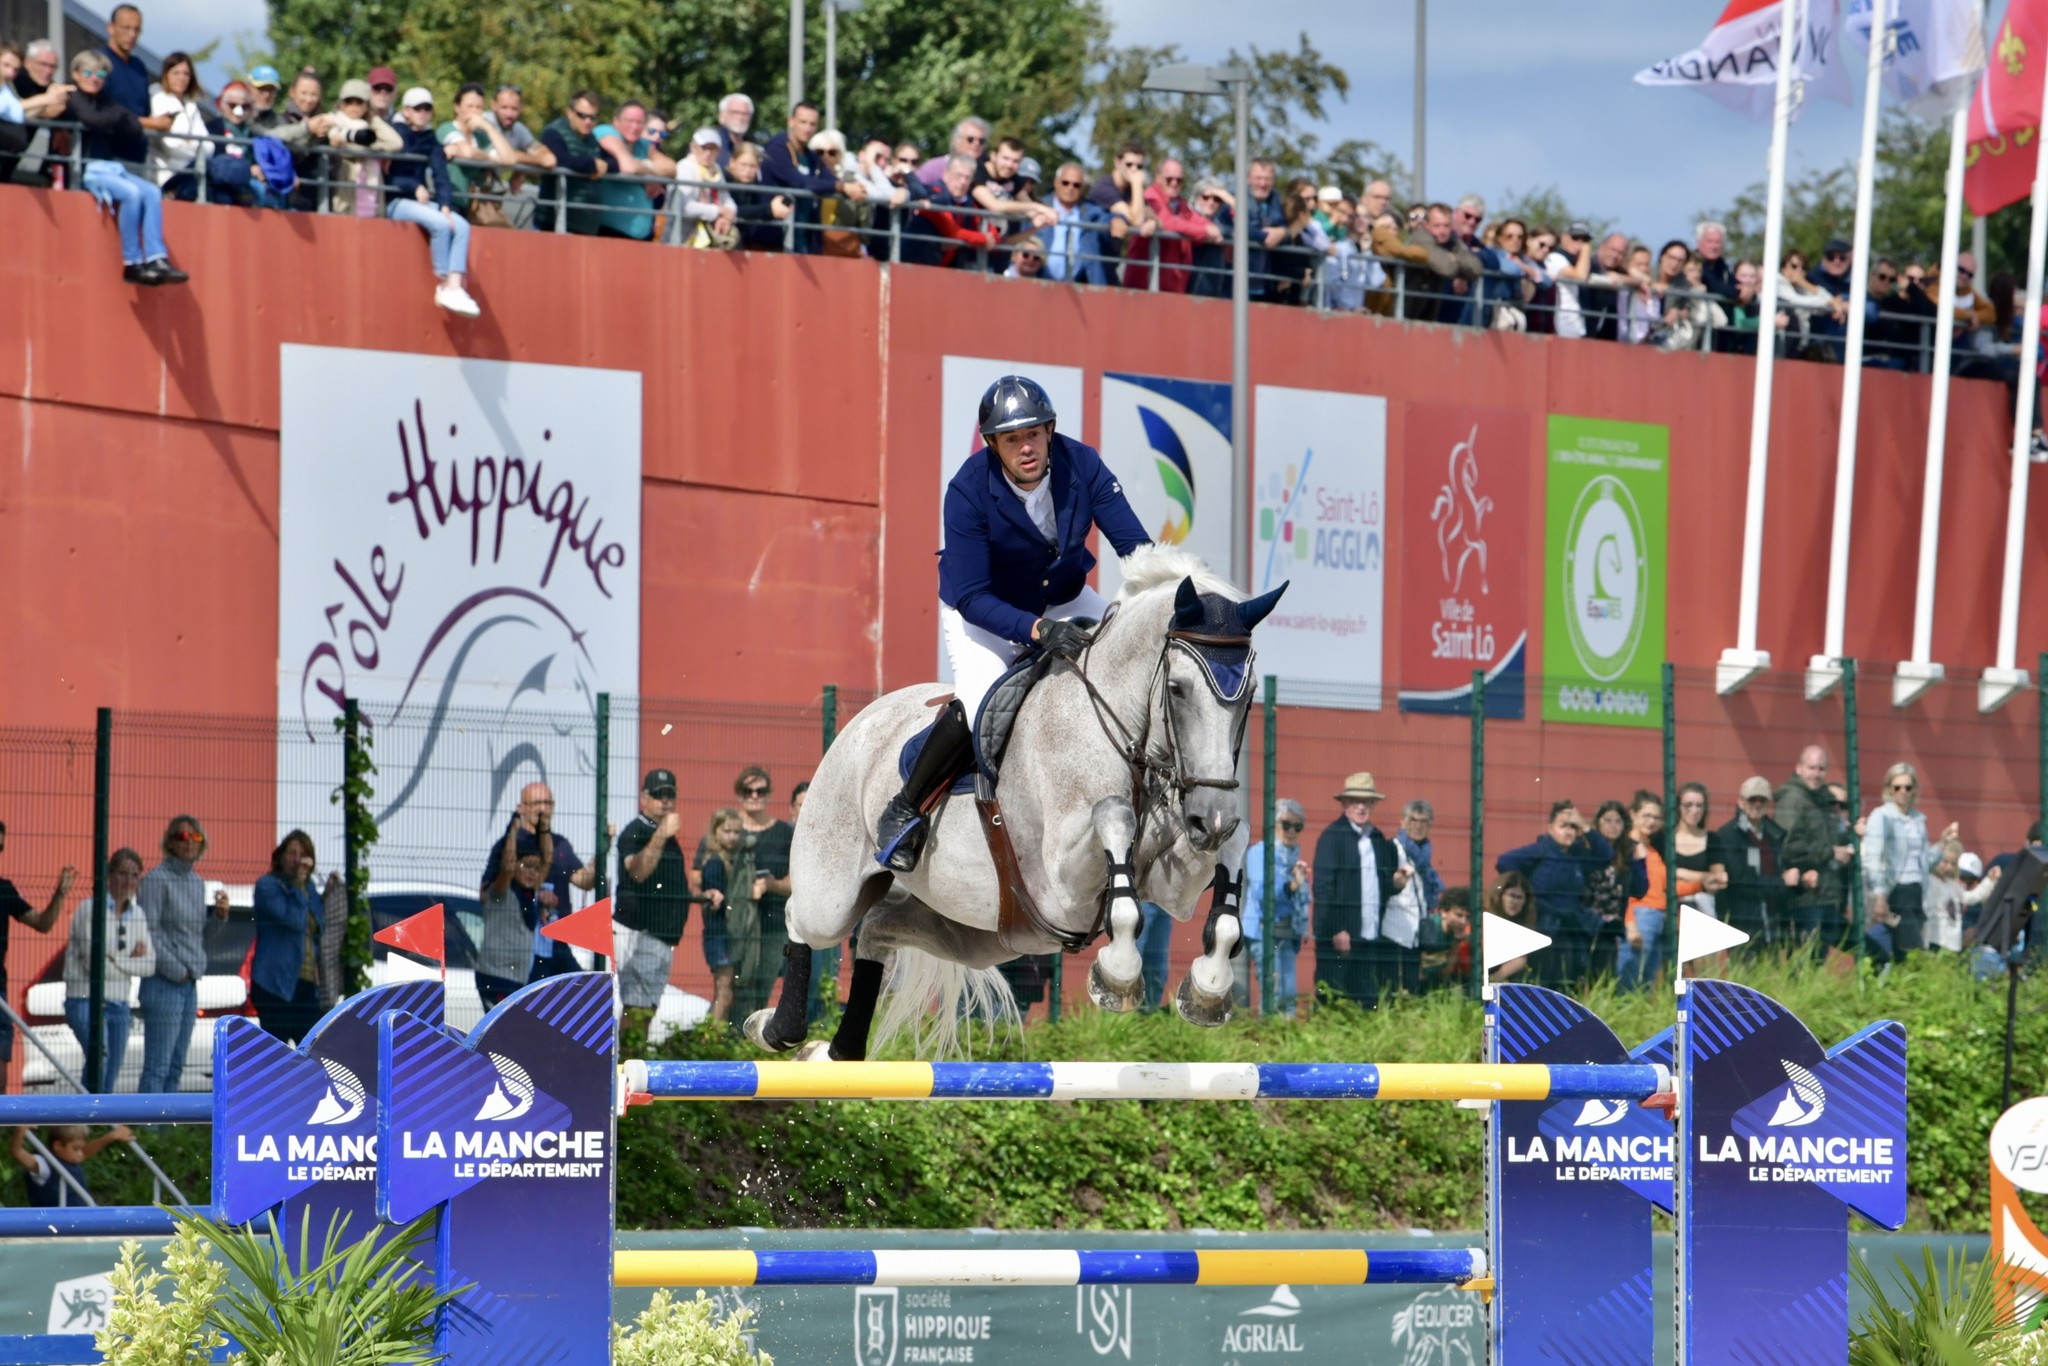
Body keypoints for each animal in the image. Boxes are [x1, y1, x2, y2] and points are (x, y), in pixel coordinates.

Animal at [745, 548, 1286, 1064]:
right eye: (1178, 689)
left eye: (1250, 695)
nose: (1209, 820)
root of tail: (865, 719)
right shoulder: (1060, 887)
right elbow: (1114, 815)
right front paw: (1118, 974)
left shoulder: (1171, 885)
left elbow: (1235, 847)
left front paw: (1209, 988)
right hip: (832, 892)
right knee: (801, 918)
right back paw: (775, 1029)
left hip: (985, 932)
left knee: (877, 929)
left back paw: (836, 1051)